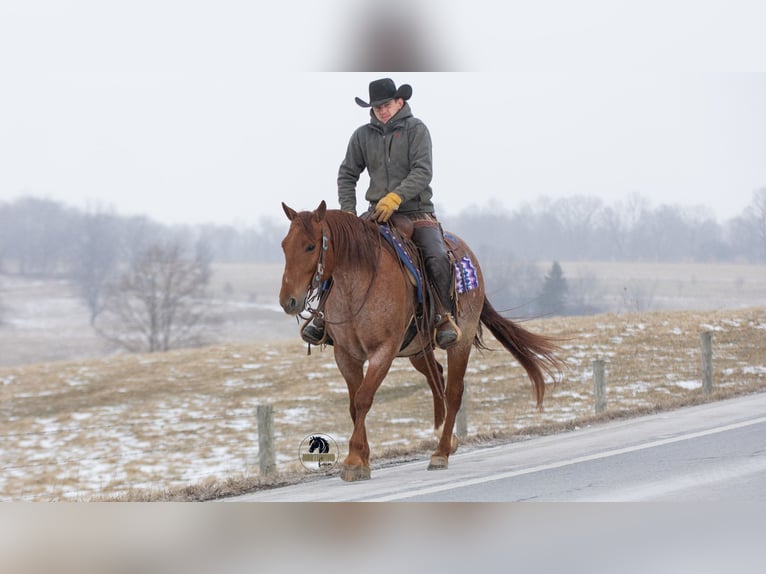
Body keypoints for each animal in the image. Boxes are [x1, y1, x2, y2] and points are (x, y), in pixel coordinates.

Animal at [279, 200, 565, 481]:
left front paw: (354, 460)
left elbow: (363, 399)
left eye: (310, 246)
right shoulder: (346, 356)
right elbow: (353, 405)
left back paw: (441, 452)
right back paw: (449, 440)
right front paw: (363, 458)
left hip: (460, 342)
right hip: (418, 350)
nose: (288, 301)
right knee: (436, 377)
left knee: (453, 392)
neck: (357, 285)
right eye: (284, 245)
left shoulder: (383, 351)